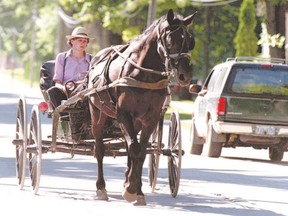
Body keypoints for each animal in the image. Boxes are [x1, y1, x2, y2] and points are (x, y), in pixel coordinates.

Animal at [87, 9, 196, 205]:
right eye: (171, 40)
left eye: (190, 41)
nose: (185, 76)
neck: (144, 73)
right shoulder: (123, 114)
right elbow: (135, 148)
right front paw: (131, 189)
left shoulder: (150, 118)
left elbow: (141, 151)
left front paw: (135, 190)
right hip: (97, 113)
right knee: (99, 148)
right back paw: (101, 188)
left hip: (136, 121)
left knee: (131, 147)